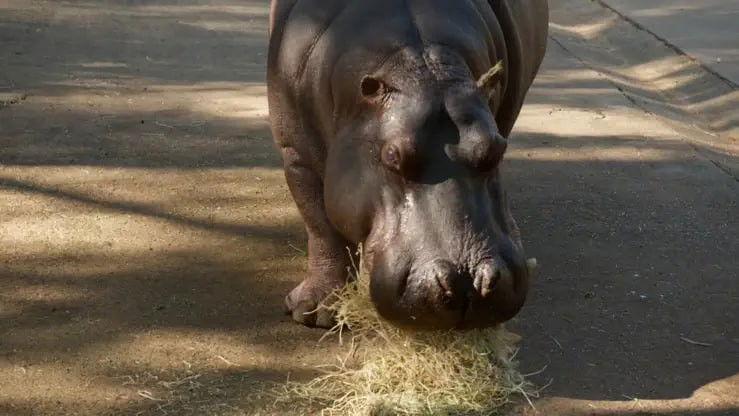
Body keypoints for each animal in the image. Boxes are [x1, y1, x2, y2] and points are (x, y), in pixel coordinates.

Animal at [267, 0, 548, 329]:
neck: (418, 64)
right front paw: (316, 313)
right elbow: (322, 227)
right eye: (392, 156)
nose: (466, 283)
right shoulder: (297, 156)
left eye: (497, 150)